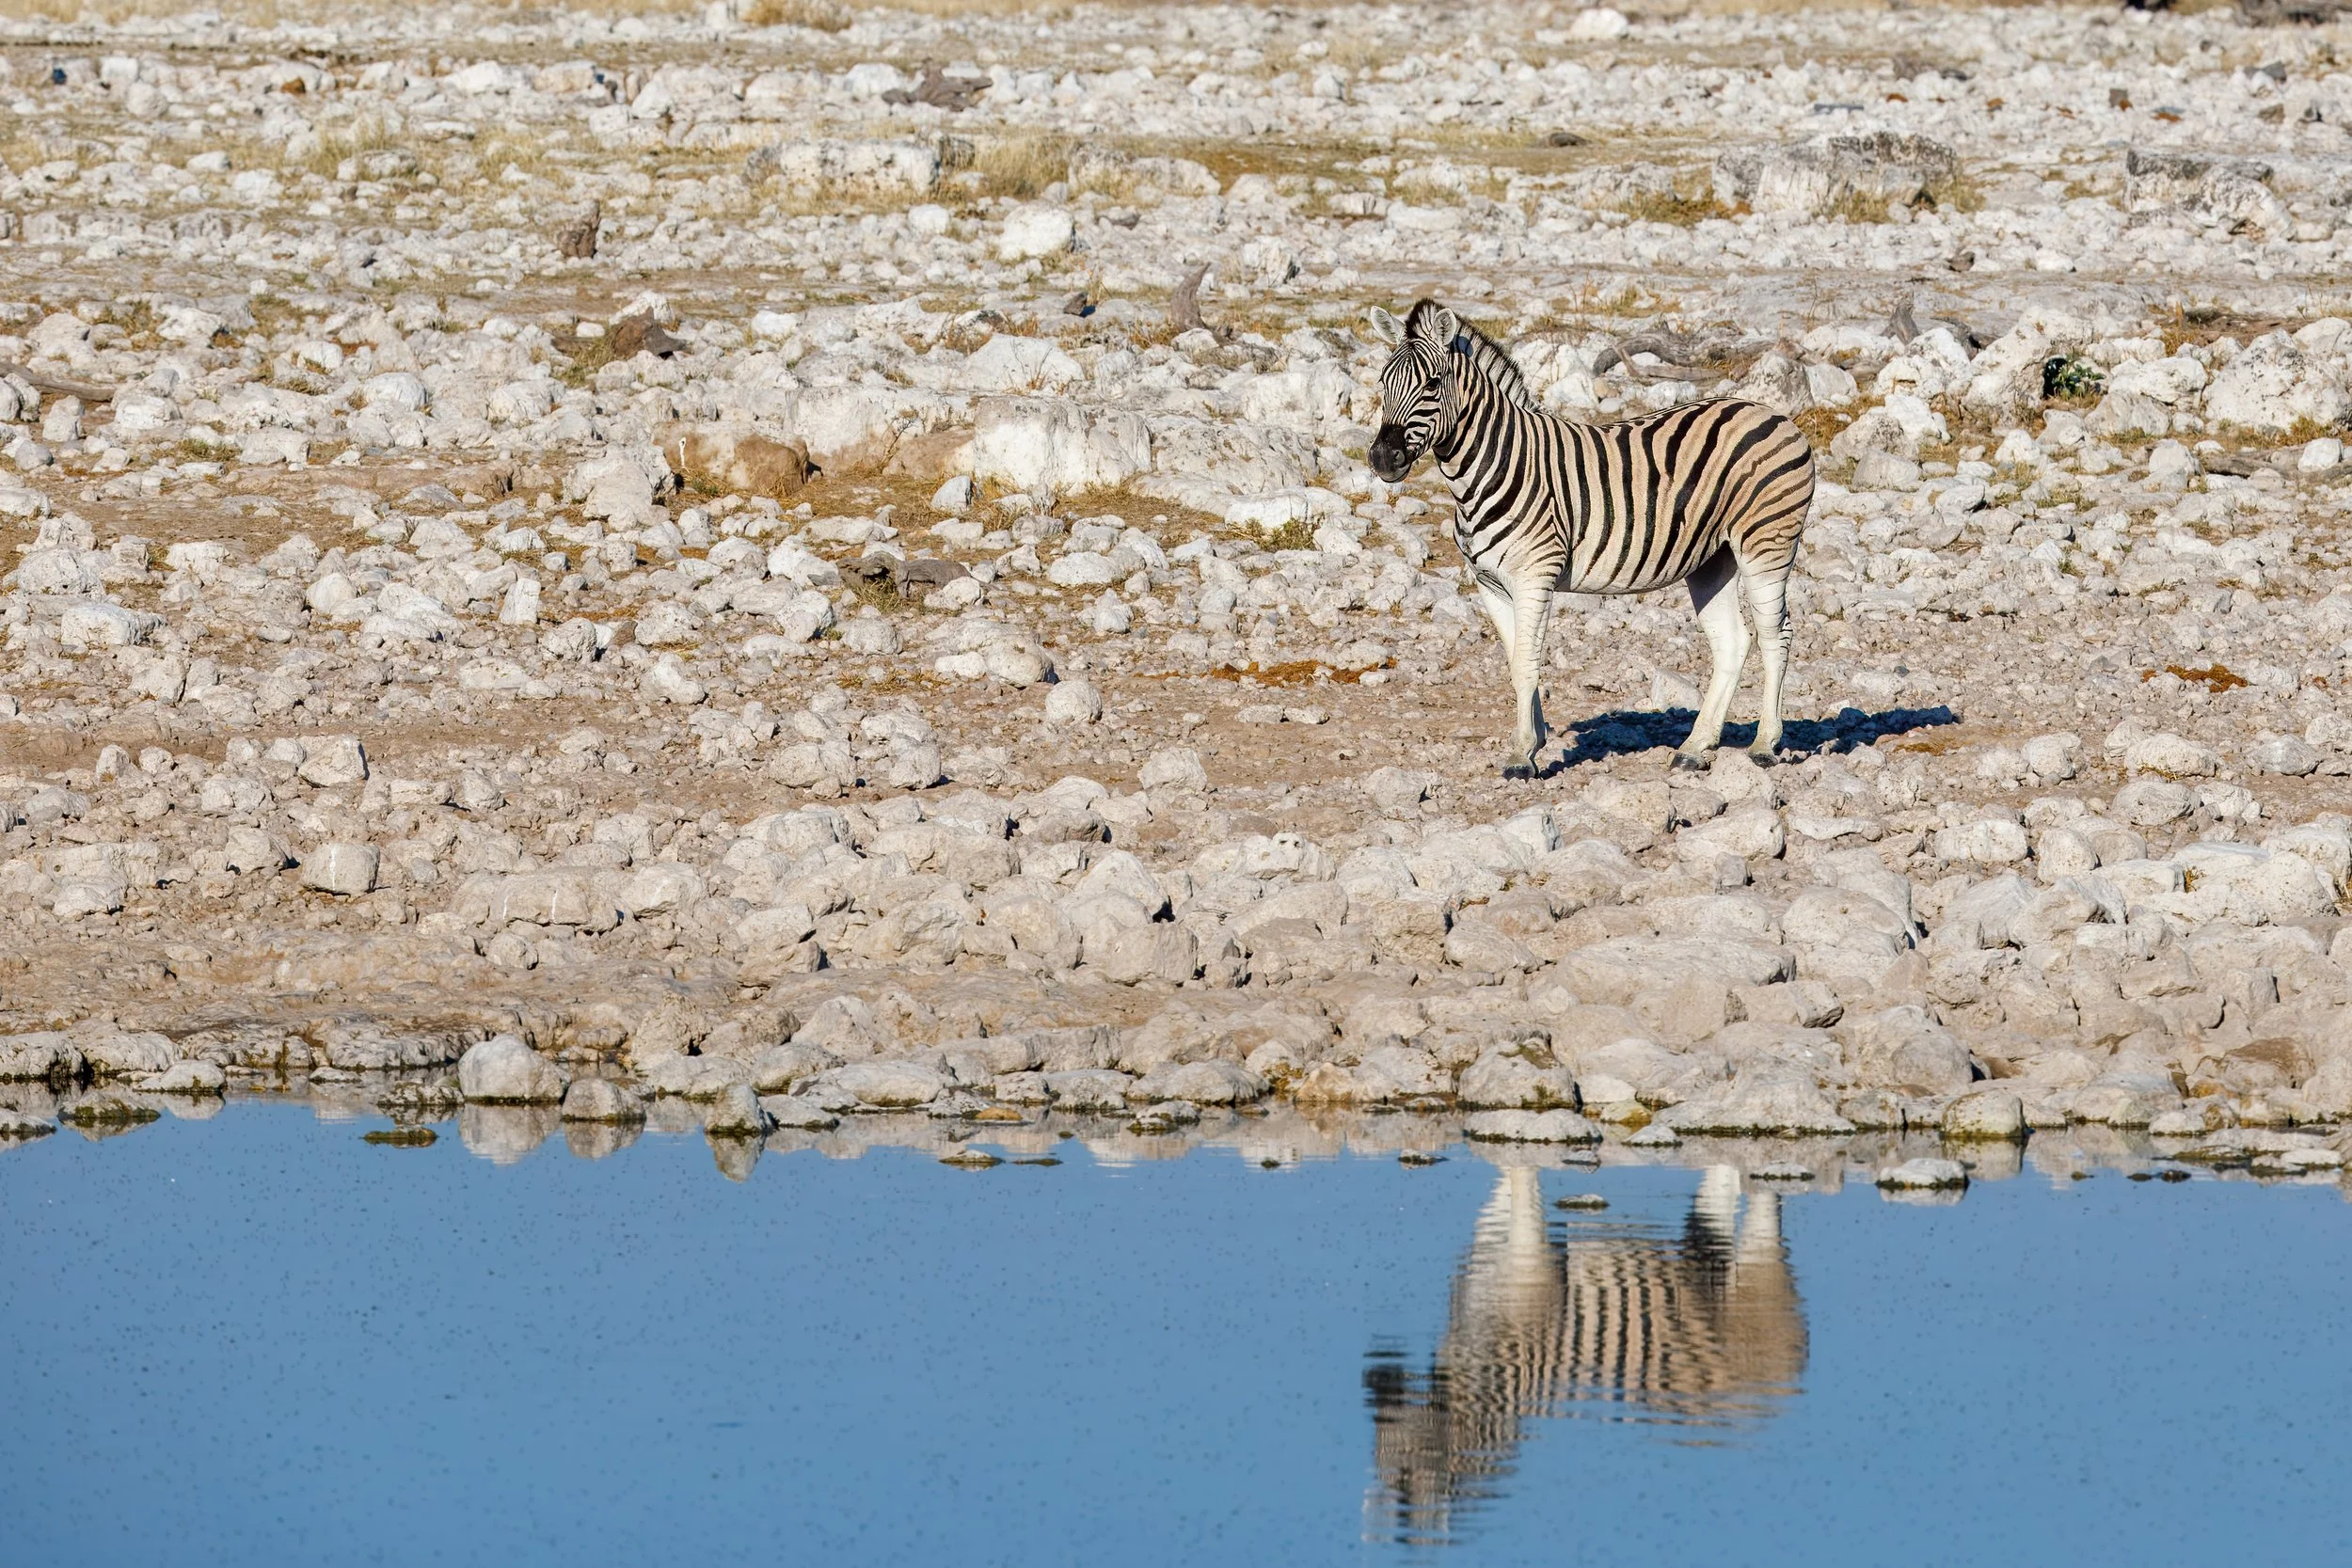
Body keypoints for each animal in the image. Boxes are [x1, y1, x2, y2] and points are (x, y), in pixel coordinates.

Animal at [1363, 1167, 1806, 1545]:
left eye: (1403, 1471)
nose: (1371, 1380)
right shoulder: (1491, 1253)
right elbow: (1504, 1191)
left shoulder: (1531, 1269)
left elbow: (1523, 1184)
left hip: (1759, 1268)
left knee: (1760, 1205)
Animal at [1365, 299, 1817, 777]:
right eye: (1382, 382)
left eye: (1433, 384)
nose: (1382, 459)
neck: (1492, 467)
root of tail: (1771, 412)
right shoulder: (1489, 583)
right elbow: (1515, 661)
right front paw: (1534, 741)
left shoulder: (1535, 576)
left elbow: (1526, 664)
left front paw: (1521, 755)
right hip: (1713, 560)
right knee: (1733, 642)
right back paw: (1695, 748)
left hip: (1766, 544)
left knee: (1775, 636)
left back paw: (1764, 745)